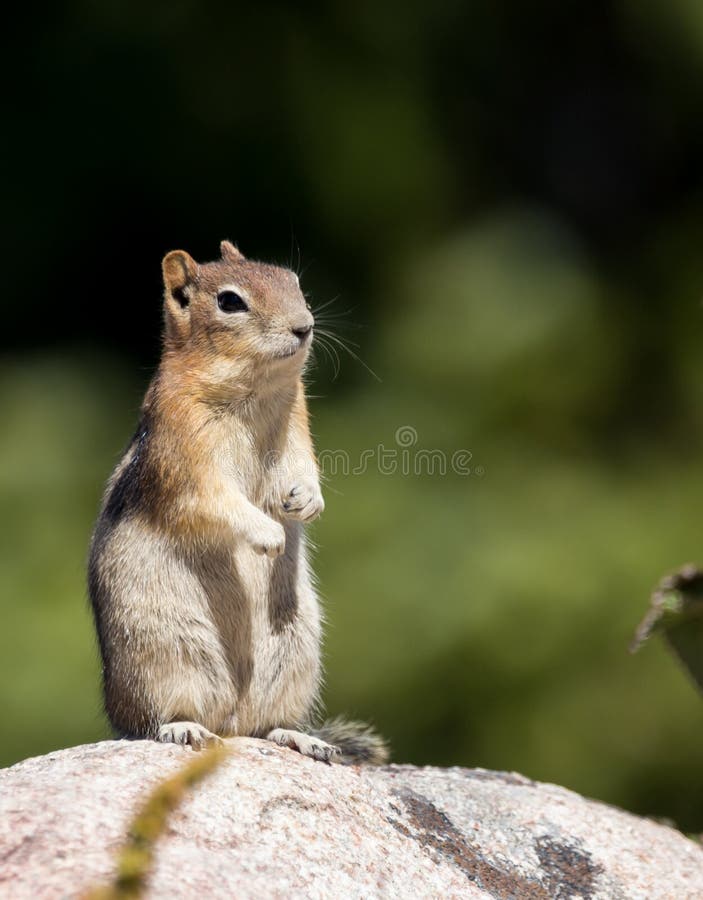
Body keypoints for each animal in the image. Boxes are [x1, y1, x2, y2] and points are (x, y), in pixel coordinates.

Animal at [86, 243, 390, 764]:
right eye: (230, 302)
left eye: (292, 280)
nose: (304, 326)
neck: (254, 390)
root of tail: (227, 725)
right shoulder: (183, 452)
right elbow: (213, 500)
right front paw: (268, 533)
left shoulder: (298, 426)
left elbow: (306, 469)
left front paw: (306, 502)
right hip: (162, 655)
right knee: (155, 719)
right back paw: (184, 727)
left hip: (296, 654)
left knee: (264, 726)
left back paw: (299, 737)